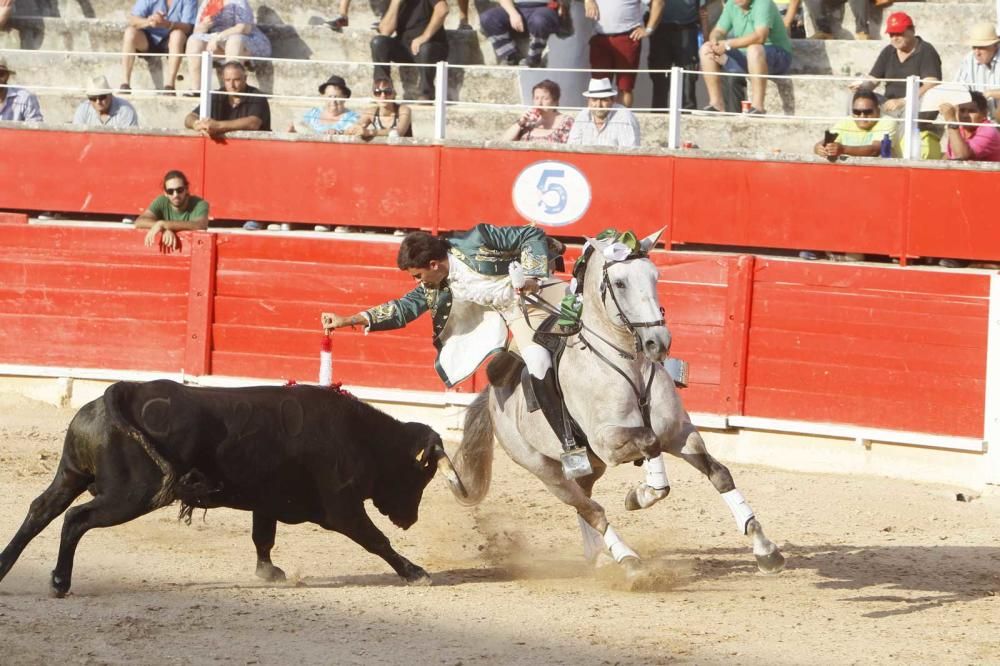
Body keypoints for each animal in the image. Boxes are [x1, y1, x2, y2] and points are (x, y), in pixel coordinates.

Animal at [0, 378, 466, 596]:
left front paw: (269, 573)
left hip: (71, 474)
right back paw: (59, 581)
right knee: (76, 519)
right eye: (420, 476)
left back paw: (5, 567)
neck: (361, 436)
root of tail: (125, 391)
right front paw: (416, 573)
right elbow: (376, 541)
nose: (410, 519)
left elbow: (264, 537)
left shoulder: (268, 501)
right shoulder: (343, 508)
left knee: (41, 509)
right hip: (131, 495)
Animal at [450, 228, 784, 576]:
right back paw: (628, 560)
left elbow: (719, 473)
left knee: (586, 505)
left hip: (587, 467)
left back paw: (599, 557)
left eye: (655, 276)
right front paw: (640, 495)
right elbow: (650, 447)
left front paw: (765, 550)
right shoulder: (609, 443)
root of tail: (493, 398)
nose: (658, 342)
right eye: (620, 283)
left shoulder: (679, 433)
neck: (629, 367)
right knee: (590, 509)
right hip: (544, 469)